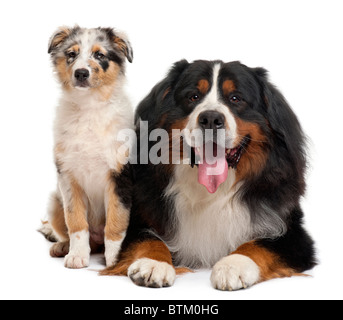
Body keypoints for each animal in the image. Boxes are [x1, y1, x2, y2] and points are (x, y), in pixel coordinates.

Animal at [103, 59, 318, 290]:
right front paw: (153, 263)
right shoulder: (140, 217)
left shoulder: (294, 235)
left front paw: (232, 266)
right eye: (193, 96)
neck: (212, 191)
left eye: (236, 98)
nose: (211, 119)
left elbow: (260, 245)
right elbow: (148, 239)